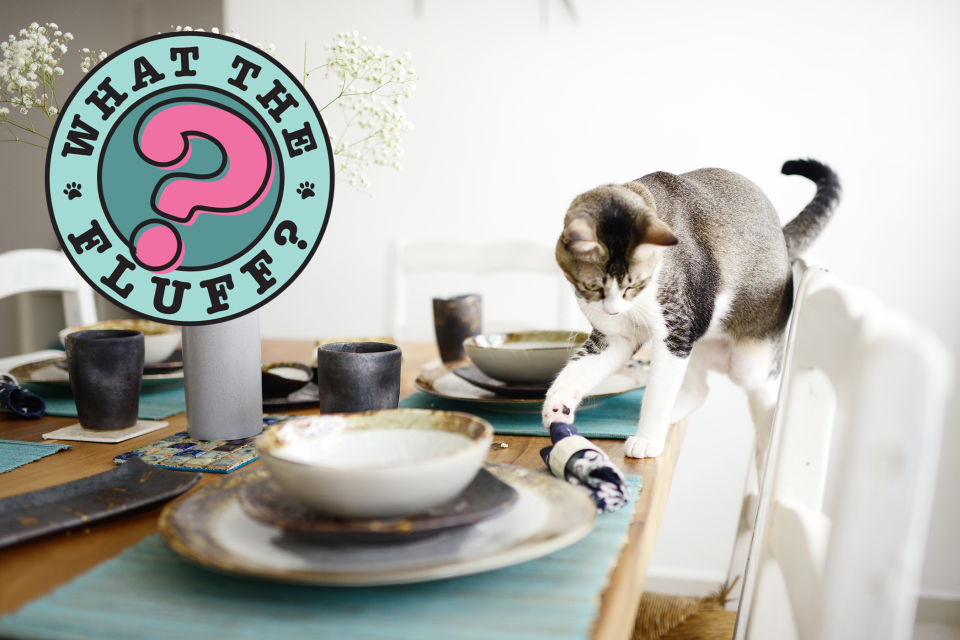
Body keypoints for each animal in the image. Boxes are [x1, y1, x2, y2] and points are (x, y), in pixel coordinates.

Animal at [544, 158, 844, 462]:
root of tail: (783, 240)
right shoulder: (618, 337)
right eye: (593, 286)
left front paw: (647, 439)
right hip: (698, 342)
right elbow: (575, 372)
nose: (614, 310)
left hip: (749, 363)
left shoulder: (675, 331)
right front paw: (557, 406)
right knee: (700, 390)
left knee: (765, 392)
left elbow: (657, 395)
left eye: (635, 283)